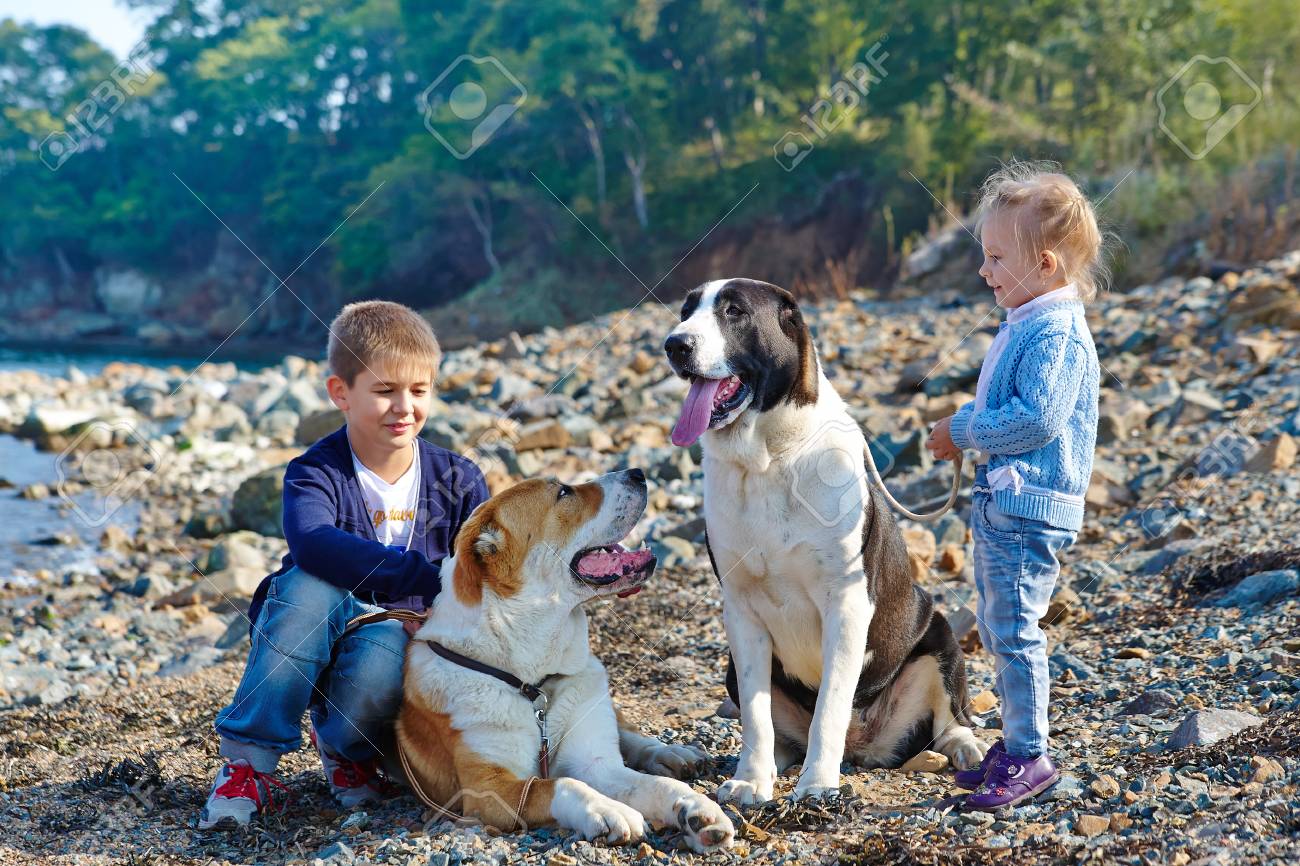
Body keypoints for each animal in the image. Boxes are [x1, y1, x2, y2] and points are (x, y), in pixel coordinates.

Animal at [400, 468, 733, 847]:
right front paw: (608, 810)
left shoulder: (597, 763)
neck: (533, 680)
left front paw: (698, 808)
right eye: (563, 492)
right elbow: (563, 784)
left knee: (630, 734)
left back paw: (672, 753)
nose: (637, 473)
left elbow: (653, 785)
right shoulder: (489, 790)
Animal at [660, 279, 982, 800]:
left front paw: (816, 785)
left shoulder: (847, 605)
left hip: (940, 636)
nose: (675, 344)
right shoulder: (741, 612)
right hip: (731, 667)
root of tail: (864, 745)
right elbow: (756, 715)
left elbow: (830, 704)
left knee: (950, 717)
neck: (769, 458)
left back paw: (965, 745)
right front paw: (751, 780)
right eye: (686, 311)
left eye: (734, 312)